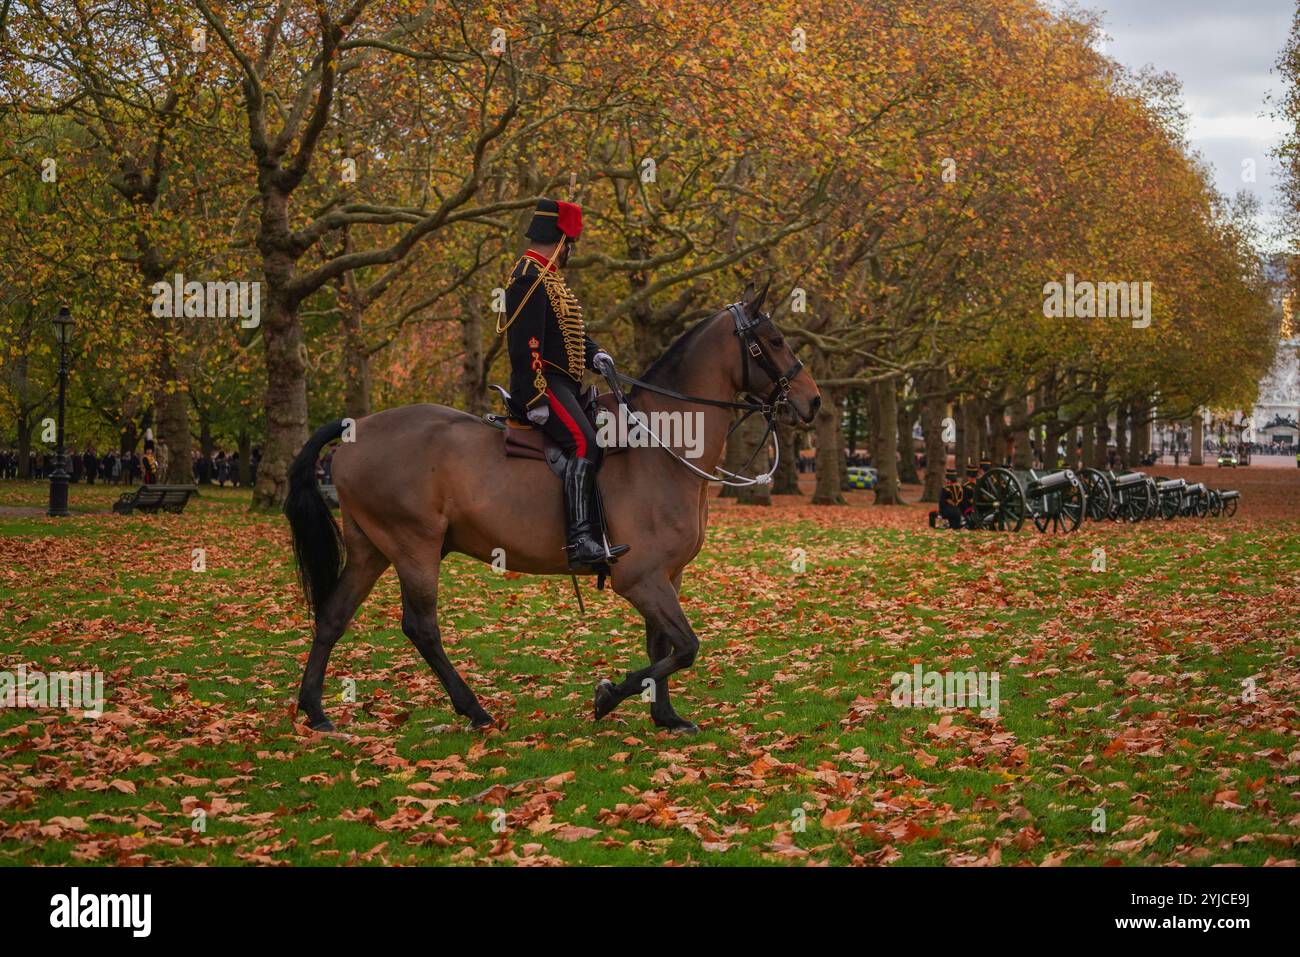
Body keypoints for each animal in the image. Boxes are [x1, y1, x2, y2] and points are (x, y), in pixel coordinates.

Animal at [287, 282, 821, 733]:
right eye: (774, 341)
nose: (813, 402)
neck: (660, 445)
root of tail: (357, 428)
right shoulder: (641, 578)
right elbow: (686, 646)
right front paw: (608, 695)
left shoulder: (667, 575)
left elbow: (663, 643)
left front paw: (666, 716)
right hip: (413, 546)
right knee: (421, 627)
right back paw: (474, 710)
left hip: (371, 548)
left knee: (333, 616)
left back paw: (315, 711)